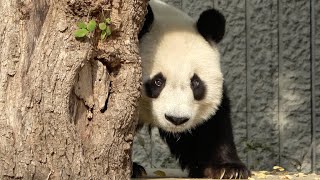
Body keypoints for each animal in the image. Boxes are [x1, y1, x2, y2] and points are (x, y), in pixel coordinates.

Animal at [134, 0, 251, 178]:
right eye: (158, 82)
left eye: (195, 83)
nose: (176, 119)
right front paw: (132, 168)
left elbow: (208, 127)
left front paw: (228, 169)